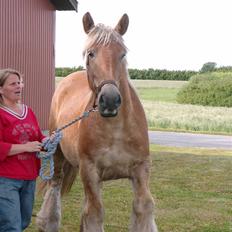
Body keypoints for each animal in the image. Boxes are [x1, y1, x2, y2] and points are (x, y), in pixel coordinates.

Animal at [36, 11, 159, 231]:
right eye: (90, 53)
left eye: (122, 54)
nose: (109, 100)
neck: (116, 129)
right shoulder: (90, 171)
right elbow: (94, 212)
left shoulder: (141, 169)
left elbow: (143, 207)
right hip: (58, 157)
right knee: (54, 189)